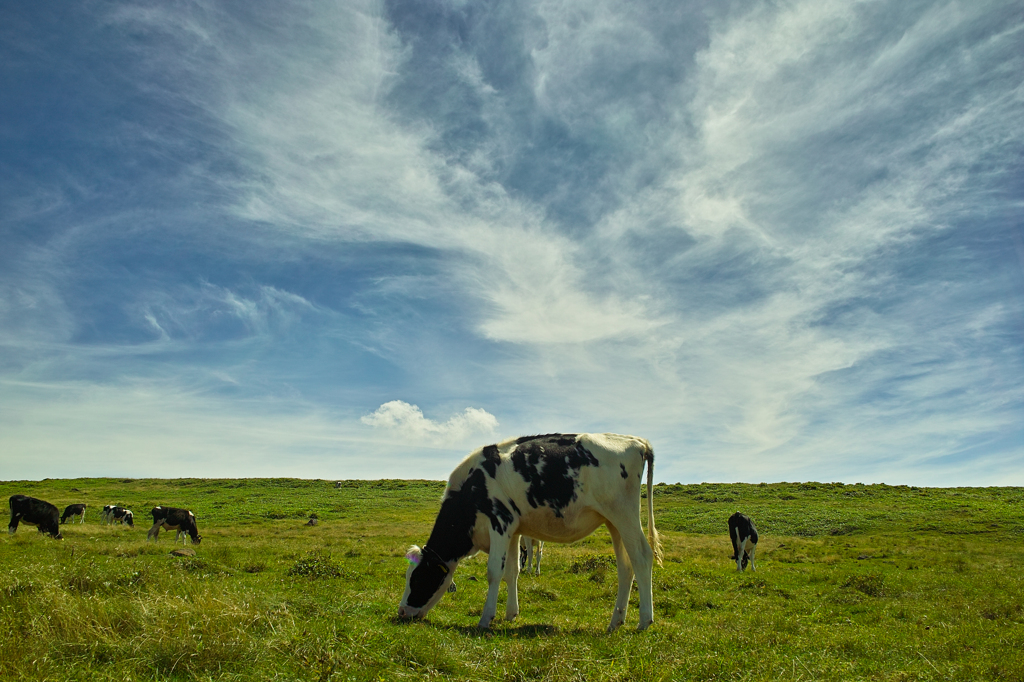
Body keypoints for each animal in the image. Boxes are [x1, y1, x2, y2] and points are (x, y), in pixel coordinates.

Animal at [395, 432, 659, 630]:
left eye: (418, 578)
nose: (401, 612)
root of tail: (636, 441)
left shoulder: (499, 521)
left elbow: (494, 572)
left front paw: (486, 618)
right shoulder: (514, 531)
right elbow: (513, 572)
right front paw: (511, 613)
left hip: (624, 515)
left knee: (642, 557)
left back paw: (644, 620)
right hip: (613, 522)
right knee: (626, 566)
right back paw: (616, 621)